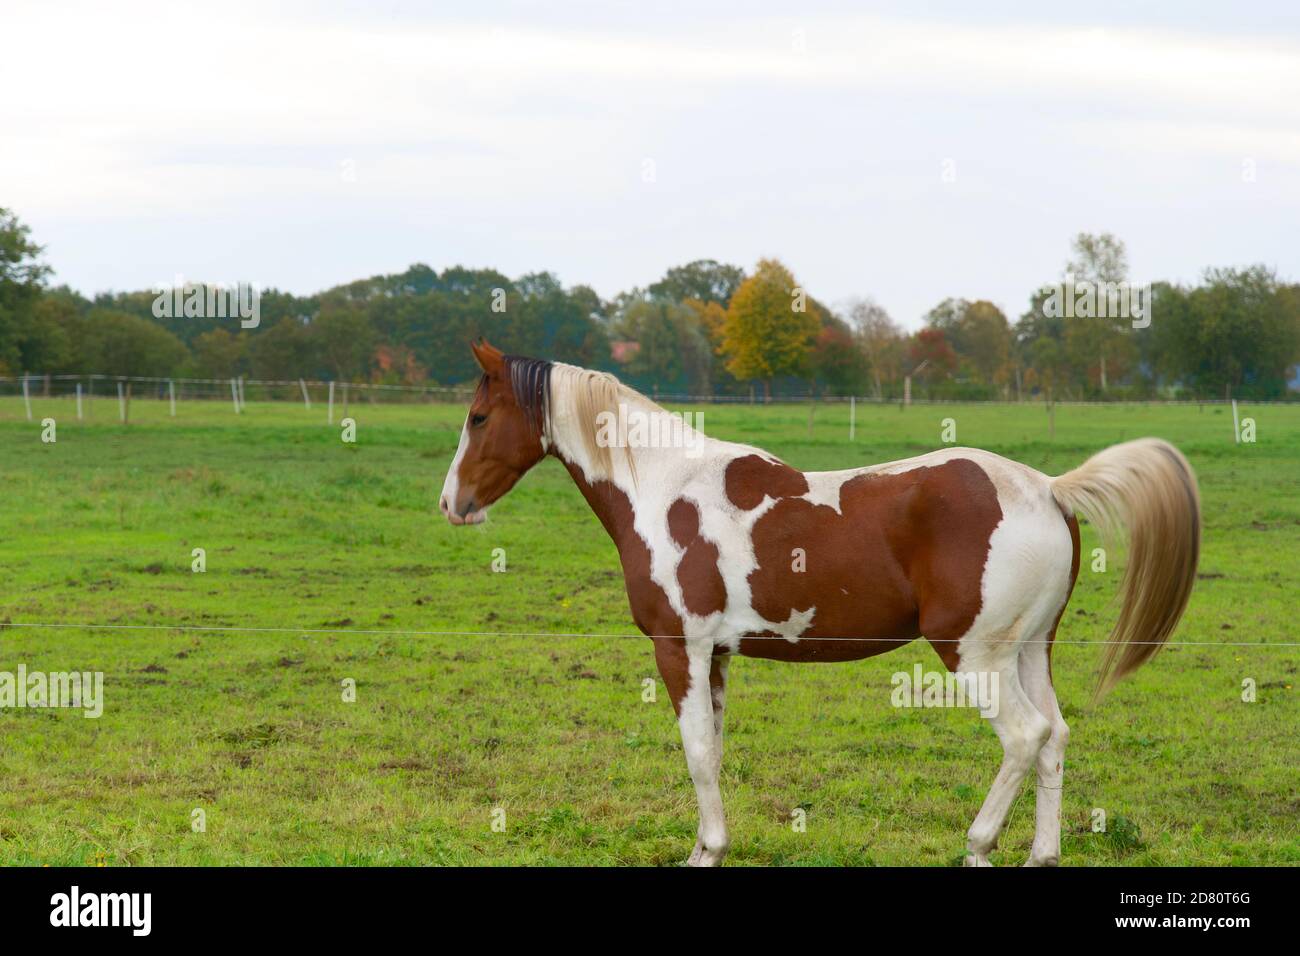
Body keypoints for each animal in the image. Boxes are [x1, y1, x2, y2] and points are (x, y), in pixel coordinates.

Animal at [436, 343, 1196, 868]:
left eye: (479, 417)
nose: (452, 504)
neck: (661, 487)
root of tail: (1049, 489)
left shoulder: (680, 648)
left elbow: (696, 752)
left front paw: (706, 851)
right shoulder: (717, 656)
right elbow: (714, 751)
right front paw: (711, 848)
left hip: (975, 656)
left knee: (1024, 737)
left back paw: (979, 844)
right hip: (1030, 652)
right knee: (1055, 738)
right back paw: (1041, 853)